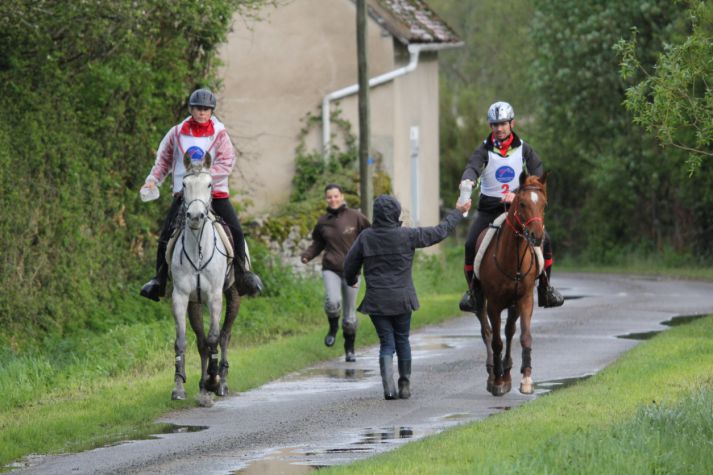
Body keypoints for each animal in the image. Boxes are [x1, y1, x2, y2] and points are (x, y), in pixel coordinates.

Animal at [476, 173, 548, 396]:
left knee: (509, 332)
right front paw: (498, 382)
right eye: (523, 203)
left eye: (543, 204)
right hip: (481, 303)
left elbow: (524, 336)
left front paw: (526, 379)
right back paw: (494, 373)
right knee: (488, 333)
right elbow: (496, 341)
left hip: (514, 305)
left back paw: (506, 372)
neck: (512, 258)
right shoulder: (494, 304)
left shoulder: (525, 299)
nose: (537, 236)